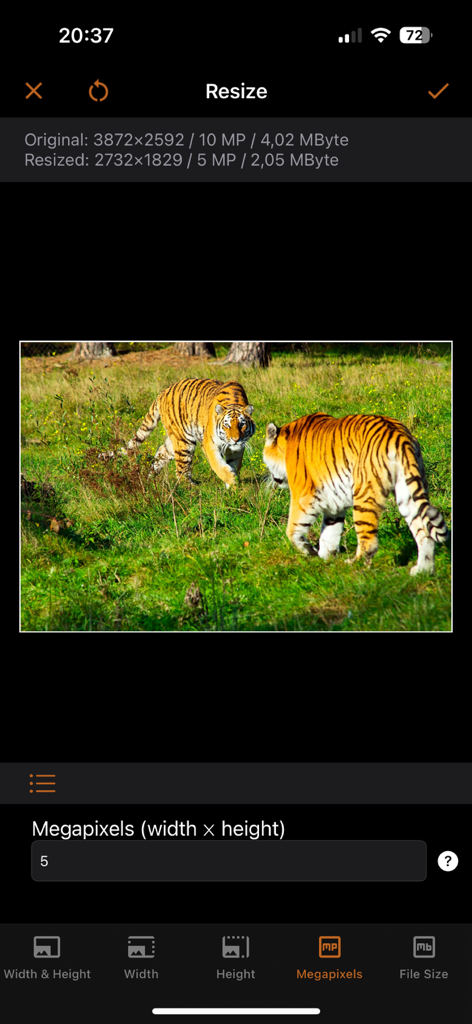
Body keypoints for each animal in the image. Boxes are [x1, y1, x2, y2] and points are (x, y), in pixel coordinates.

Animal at [101, 377, 255, 488]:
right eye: (226, 425)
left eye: (241, 424)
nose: (235, 439)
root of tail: (163, 391)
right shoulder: (210, 444)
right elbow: (218, 465)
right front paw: (231, 480)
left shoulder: (237, 449)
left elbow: (234, 465)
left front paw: (232, 487)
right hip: (184, 440)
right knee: (181, 469)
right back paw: (191, 488)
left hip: (175, 439)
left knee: (162, 451)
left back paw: (150, 479)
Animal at [263, 412, 449, 574]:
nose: (271, 478)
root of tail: (398, 434)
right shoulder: (333, 503)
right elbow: (330, 533)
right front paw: (325, 558)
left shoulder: (303, 495)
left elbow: (292, 530)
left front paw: (310, 552)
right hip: (407, 491)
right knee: (424, 533)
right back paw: (422, 570)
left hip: (364, 496)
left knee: (369, 542)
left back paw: (354, 564)